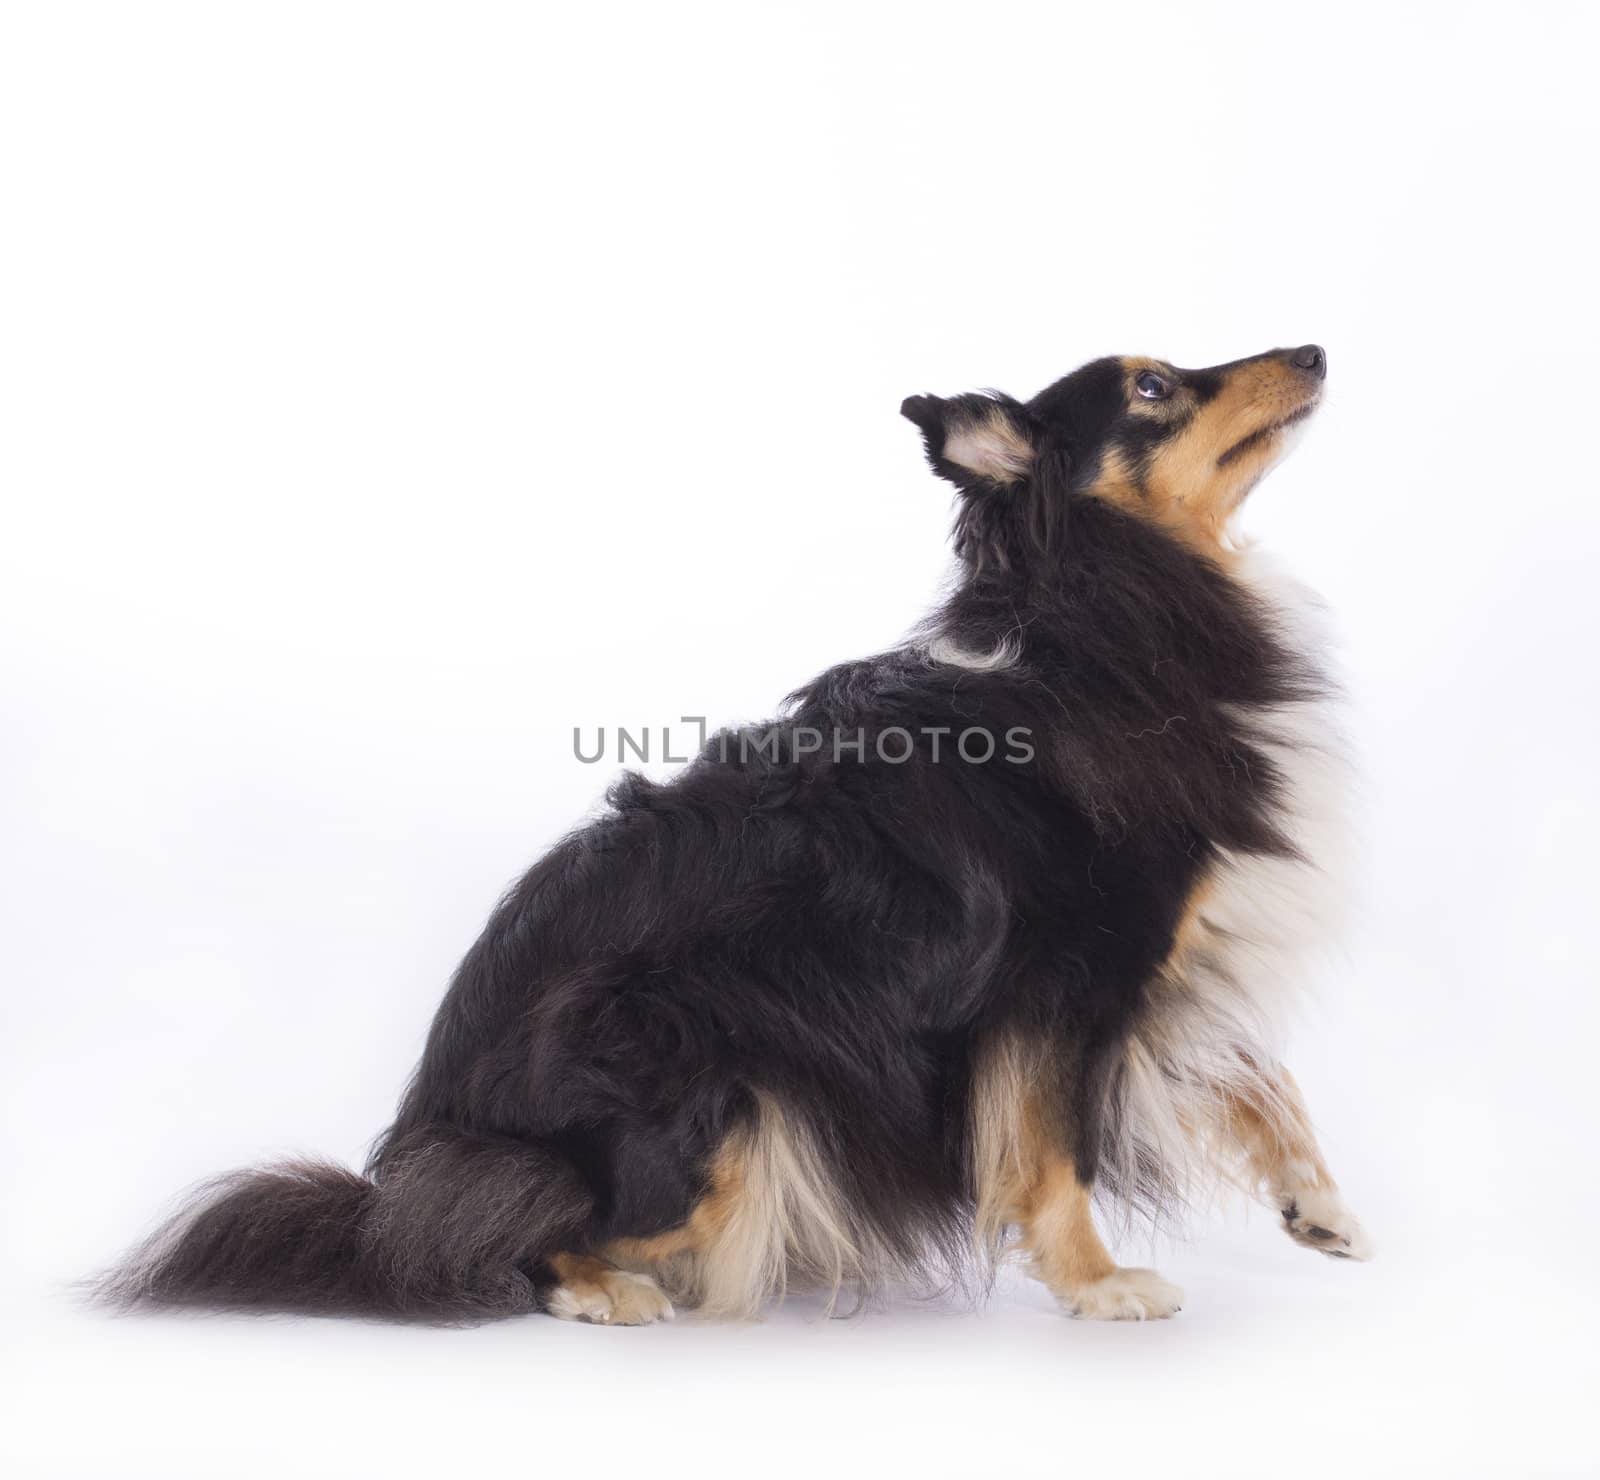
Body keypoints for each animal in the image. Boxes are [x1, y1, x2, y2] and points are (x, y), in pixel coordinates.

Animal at [100, 344, 1369, 1331]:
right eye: (1154, 385)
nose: (1313, 350)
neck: (1093, 617)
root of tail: (429, 1134)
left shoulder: (1163, 966)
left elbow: (1267, 1078)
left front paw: (1317, 1205)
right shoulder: (1058, 981)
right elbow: (1047, 1153)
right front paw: (1100, 1284)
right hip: (715, 1081)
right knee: (501, 1227)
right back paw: (602, 1286)